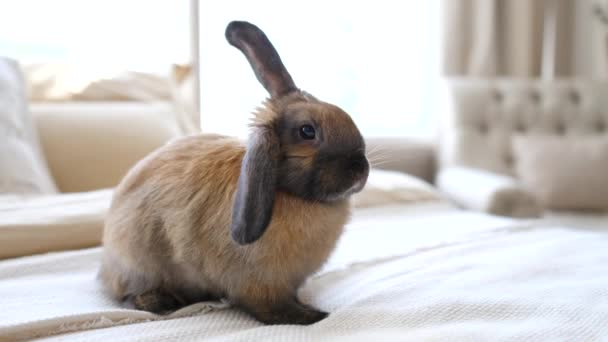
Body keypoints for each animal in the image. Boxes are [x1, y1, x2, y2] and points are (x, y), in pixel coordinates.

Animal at [98, 21, 370, 326]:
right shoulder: (258, 285)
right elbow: (271, 309)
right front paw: (312, 316)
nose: (360, 170)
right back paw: (164, 302)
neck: (291, 194)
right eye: (307, 131)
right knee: (132, 296)